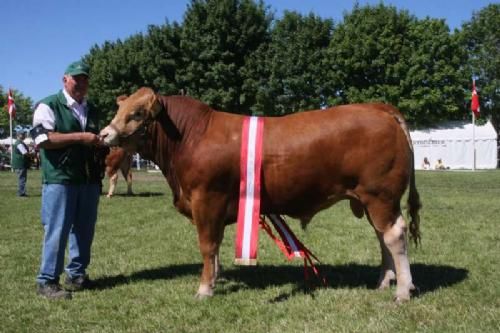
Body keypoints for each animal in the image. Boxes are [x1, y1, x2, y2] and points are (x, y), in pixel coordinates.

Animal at [100, 87, 422, 302]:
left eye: (137, 113)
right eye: (119, 110)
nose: (103, 134)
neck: (191, 136)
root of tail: (378, 107)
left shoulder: (206, 199)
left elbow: (207, 245)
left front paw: (204, 289)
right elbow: (215, 246)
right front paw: (215, 277)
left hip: (380, 195)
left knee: (394, 236)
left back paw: (403, 290)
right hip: (372, 200)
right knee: (382, 237)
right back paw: (384, 281)